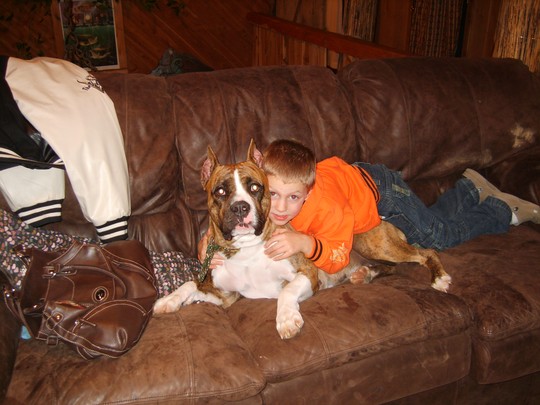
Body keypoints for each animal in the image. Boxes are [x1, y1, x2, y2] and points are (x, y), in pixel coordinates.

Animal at [153, 140, 452, 339]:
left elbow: (286, 292)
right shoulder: (226, 296)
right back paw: (364, 274)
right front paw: (169, 300)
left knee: (425, 252)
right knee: (393, 266)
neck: (248, 250)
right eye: (220, 191)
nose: (240, 207)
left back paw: (439, 278)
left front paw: (286, 319)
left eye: (255, 187)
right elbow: (191, 284)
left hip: (372, 242)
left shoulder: (307, 274)